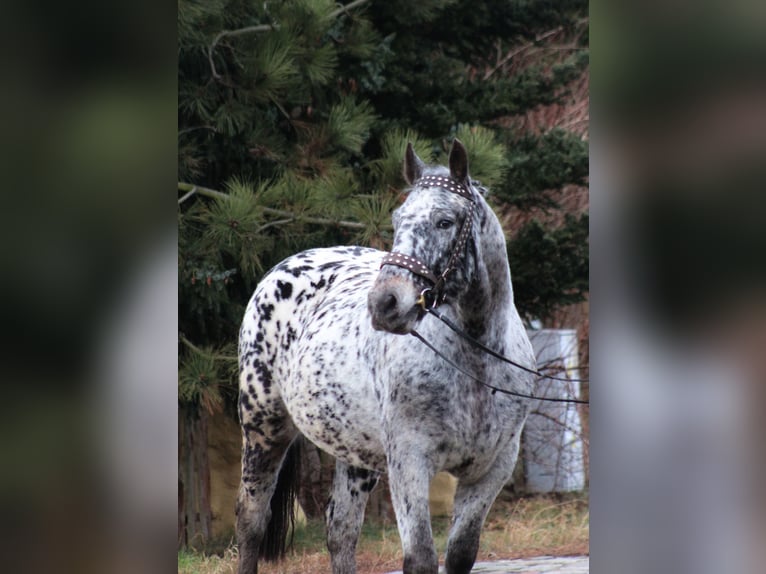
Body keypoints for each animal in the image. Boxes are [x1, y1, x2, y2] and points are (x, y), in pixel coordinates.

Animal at [237, 141, 536, 574]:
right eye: (397, 220)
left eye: (445, 221)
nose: (385, 303)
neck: (477, 365)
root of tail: (282, 269)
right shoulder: (409, 463)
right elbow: (421, 558)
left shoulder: (491, 469)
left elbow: (460, 554)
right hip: (263, 428)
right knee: (252, 523)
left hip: (355, 453)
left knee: (340, 532)